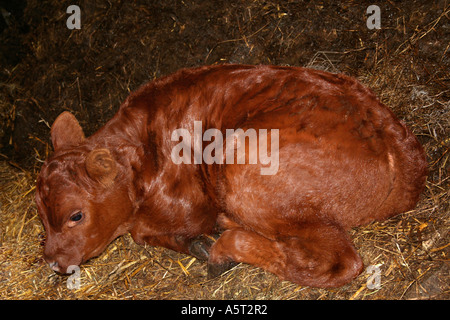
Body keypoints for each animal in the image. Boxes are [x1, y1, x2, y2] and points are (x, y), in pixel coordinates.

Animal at [35, 64, 426, 288]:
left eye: (76, 215)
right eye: (41, 217)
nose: (53, 263)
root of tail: (405, 160)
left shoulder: (188, 206)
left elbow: (146, 232)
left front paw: (199, 241)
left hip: (243, 165)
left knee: (340, 261)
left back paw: (224, 245)